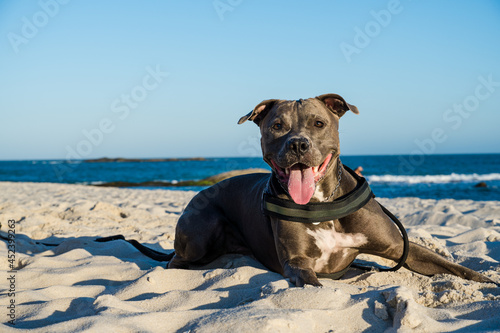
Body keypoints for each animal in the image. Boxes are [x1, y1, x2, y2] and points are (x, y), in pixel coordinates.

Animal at [167, 92, 492, 286]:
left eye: (319, 123)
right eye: (277, 126)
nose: (298, 144)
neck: (323, 203)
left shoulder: (401, 248)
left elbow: (457, 268)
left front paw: (489, 283)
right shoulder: (297, 263)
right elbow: (313, 284)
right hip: (200, 232)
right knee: (174, 261)